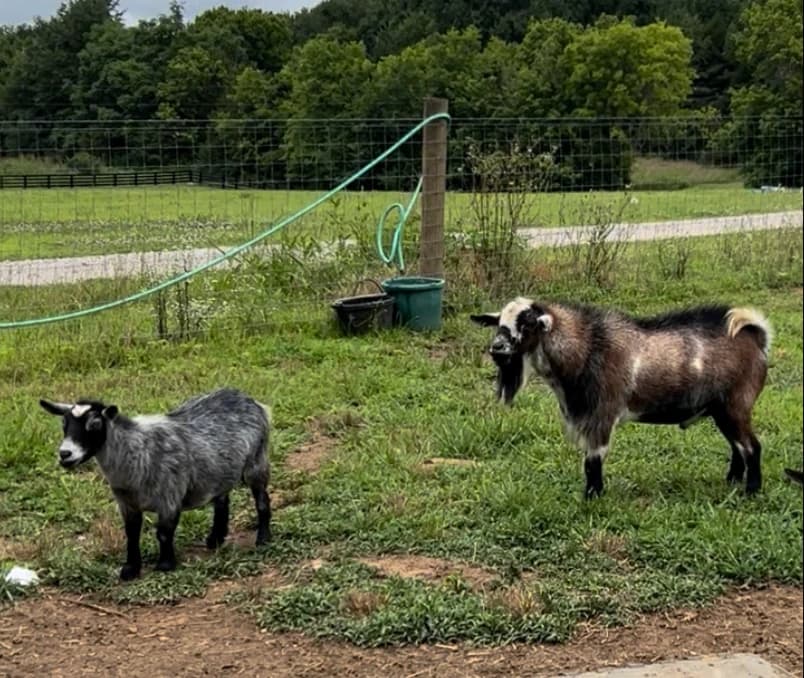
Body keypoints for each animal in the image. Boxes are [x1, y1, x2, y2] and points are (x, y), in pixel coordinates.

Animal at [40, 388, 271, 580]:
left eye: (95, 425)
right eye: (64, 424)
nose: (65, 454)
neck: (135, 451)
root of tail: (249, 399)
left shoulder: (170, 496)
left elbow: (163, 533)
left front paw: (165, 565)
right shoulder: (127, 503)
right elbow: (131, 534)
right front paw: (130, 569)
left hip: (256, 460)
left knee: (262, 500)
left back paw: (263, 538)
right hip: (220, 471)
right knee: (222, 499)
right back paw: (215, 538)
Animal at [471, 298, 772, 498]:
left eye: (527, 323)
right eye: (499, 323)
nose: (497, 348)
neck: (588, 349)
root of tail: (756, 337)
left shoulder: (601, 415)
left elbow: (592, 462)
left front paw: (592, 498)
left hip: (736, 405)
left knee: (752, 447)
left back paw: (751, 491)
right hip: (722, 410)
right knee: (737, 446)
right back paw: (732, 481)